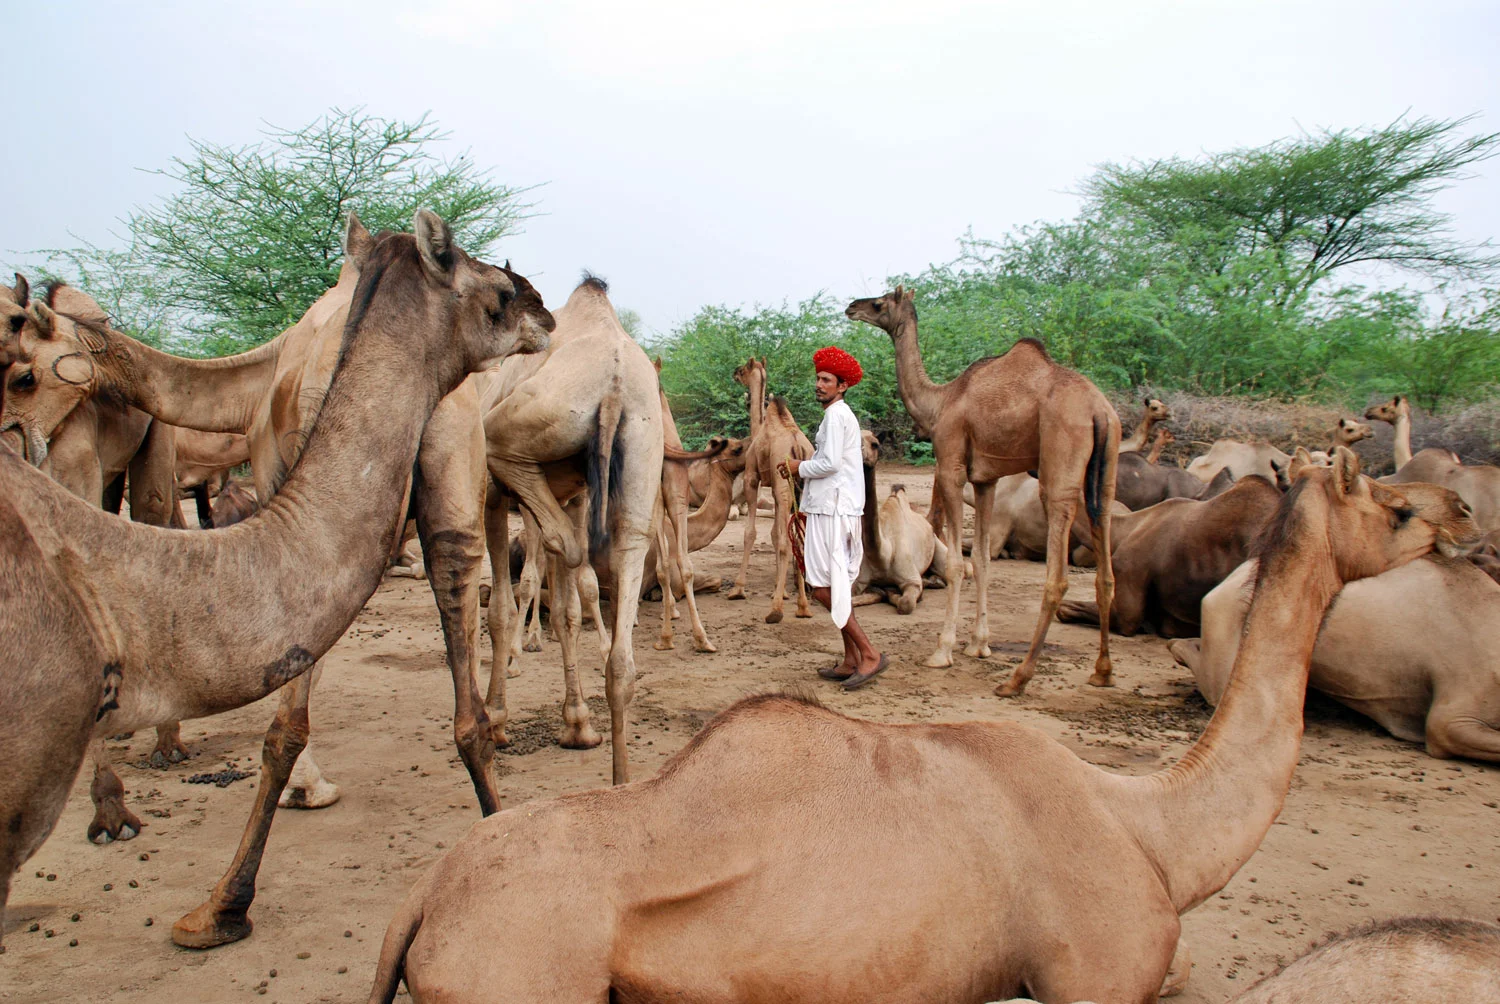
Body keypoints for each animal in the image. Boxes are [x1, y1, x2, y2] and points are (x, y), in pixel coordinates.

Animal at [725, 356, 813, 623]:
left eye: (744, 369)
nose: (734, 373)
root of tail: (798, 446)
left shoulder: (753, 479)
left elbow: (751, 533)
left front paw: (738, 589)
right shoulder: (773, 487)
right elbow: (774, 533)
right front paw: (780, 589)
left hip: (784, 484)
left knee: (787, 541)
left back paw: (776, 611)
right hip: (802, 488)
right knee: (799, 539)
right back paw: (803, 607)